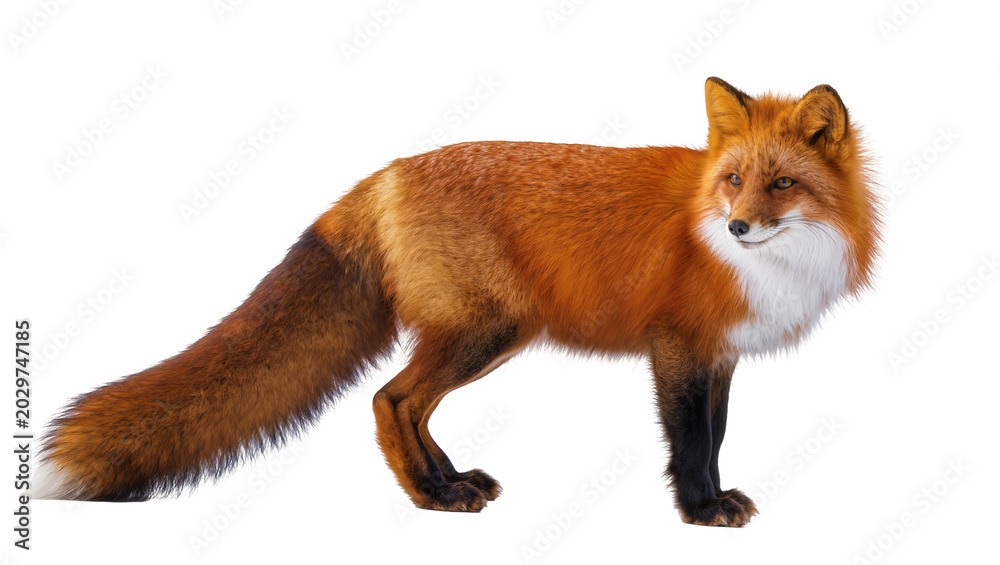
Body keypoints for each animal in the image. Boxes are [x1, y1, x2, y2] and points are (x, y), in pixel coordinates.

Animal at [36, 77, 880, 527]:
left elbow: (718, 434)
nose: (736, 226)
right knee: (391, 399)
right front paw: (702, 510)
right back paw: (432, 494)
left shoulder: (720, 356)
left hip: (482, 336)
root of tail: (383, 175)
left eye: (781, 183)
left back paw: (448, 480)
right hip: (487, 331)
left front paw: (710, 498)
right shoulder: (678, 348)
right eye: (734, 180)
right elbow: (692, 444)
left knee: (409, 406)